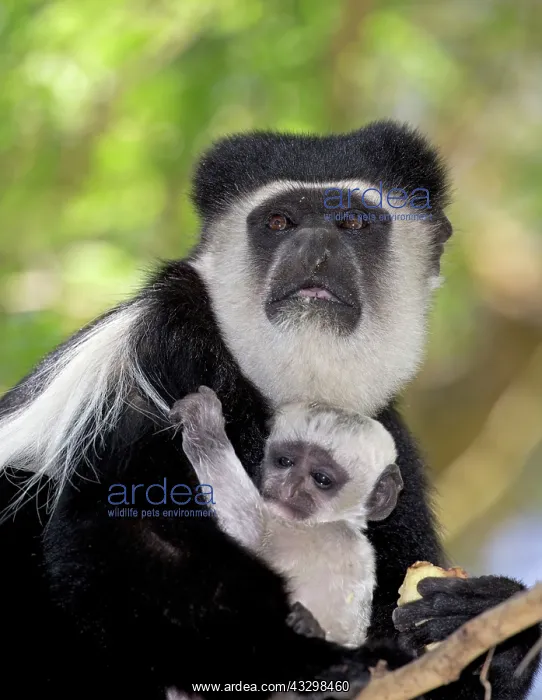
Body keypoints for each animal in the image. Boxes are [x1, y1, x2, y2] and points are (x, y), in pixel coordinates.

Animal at [170, 385, 403, 649]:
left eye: (321, 479)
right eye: (285, 462)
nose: (288, 489)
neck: (329, 522)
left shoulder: (335, 543)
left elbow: (252, 534)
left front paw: (205, 427)